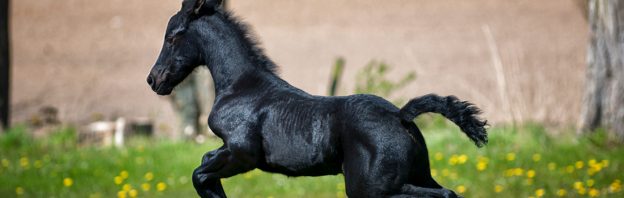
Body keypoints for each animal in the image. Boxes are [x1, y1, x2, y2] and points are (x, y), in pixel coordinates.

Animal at [147, 0, 488, 197]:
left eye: (172, 36)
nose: (154, 80)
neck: (242, 87)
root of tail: (401, 116)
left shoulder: (243, 155)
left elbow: (200, 174)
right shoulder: (227, 149)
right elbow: (204, 164)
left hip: (369, 188)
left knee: (444, 195)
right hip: (419, 175)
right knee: (447, 193)